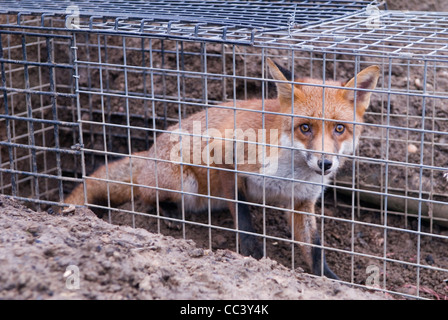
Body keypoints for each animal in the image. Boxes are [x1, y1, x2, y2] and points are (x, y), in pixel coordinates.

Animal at [65, 58, 378, 278]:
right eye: (305, 128)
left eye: (339, 128)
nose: (325, 163)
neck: (291, 172)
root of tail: (149, 152)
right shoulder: (227, 159)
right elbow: (244, 220)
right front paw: (253, 256)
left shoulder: (301, 202)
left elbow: (314, 247)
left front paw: (328, 278)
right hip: (183, 182)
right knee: (146, 196)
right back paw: (169, 213)